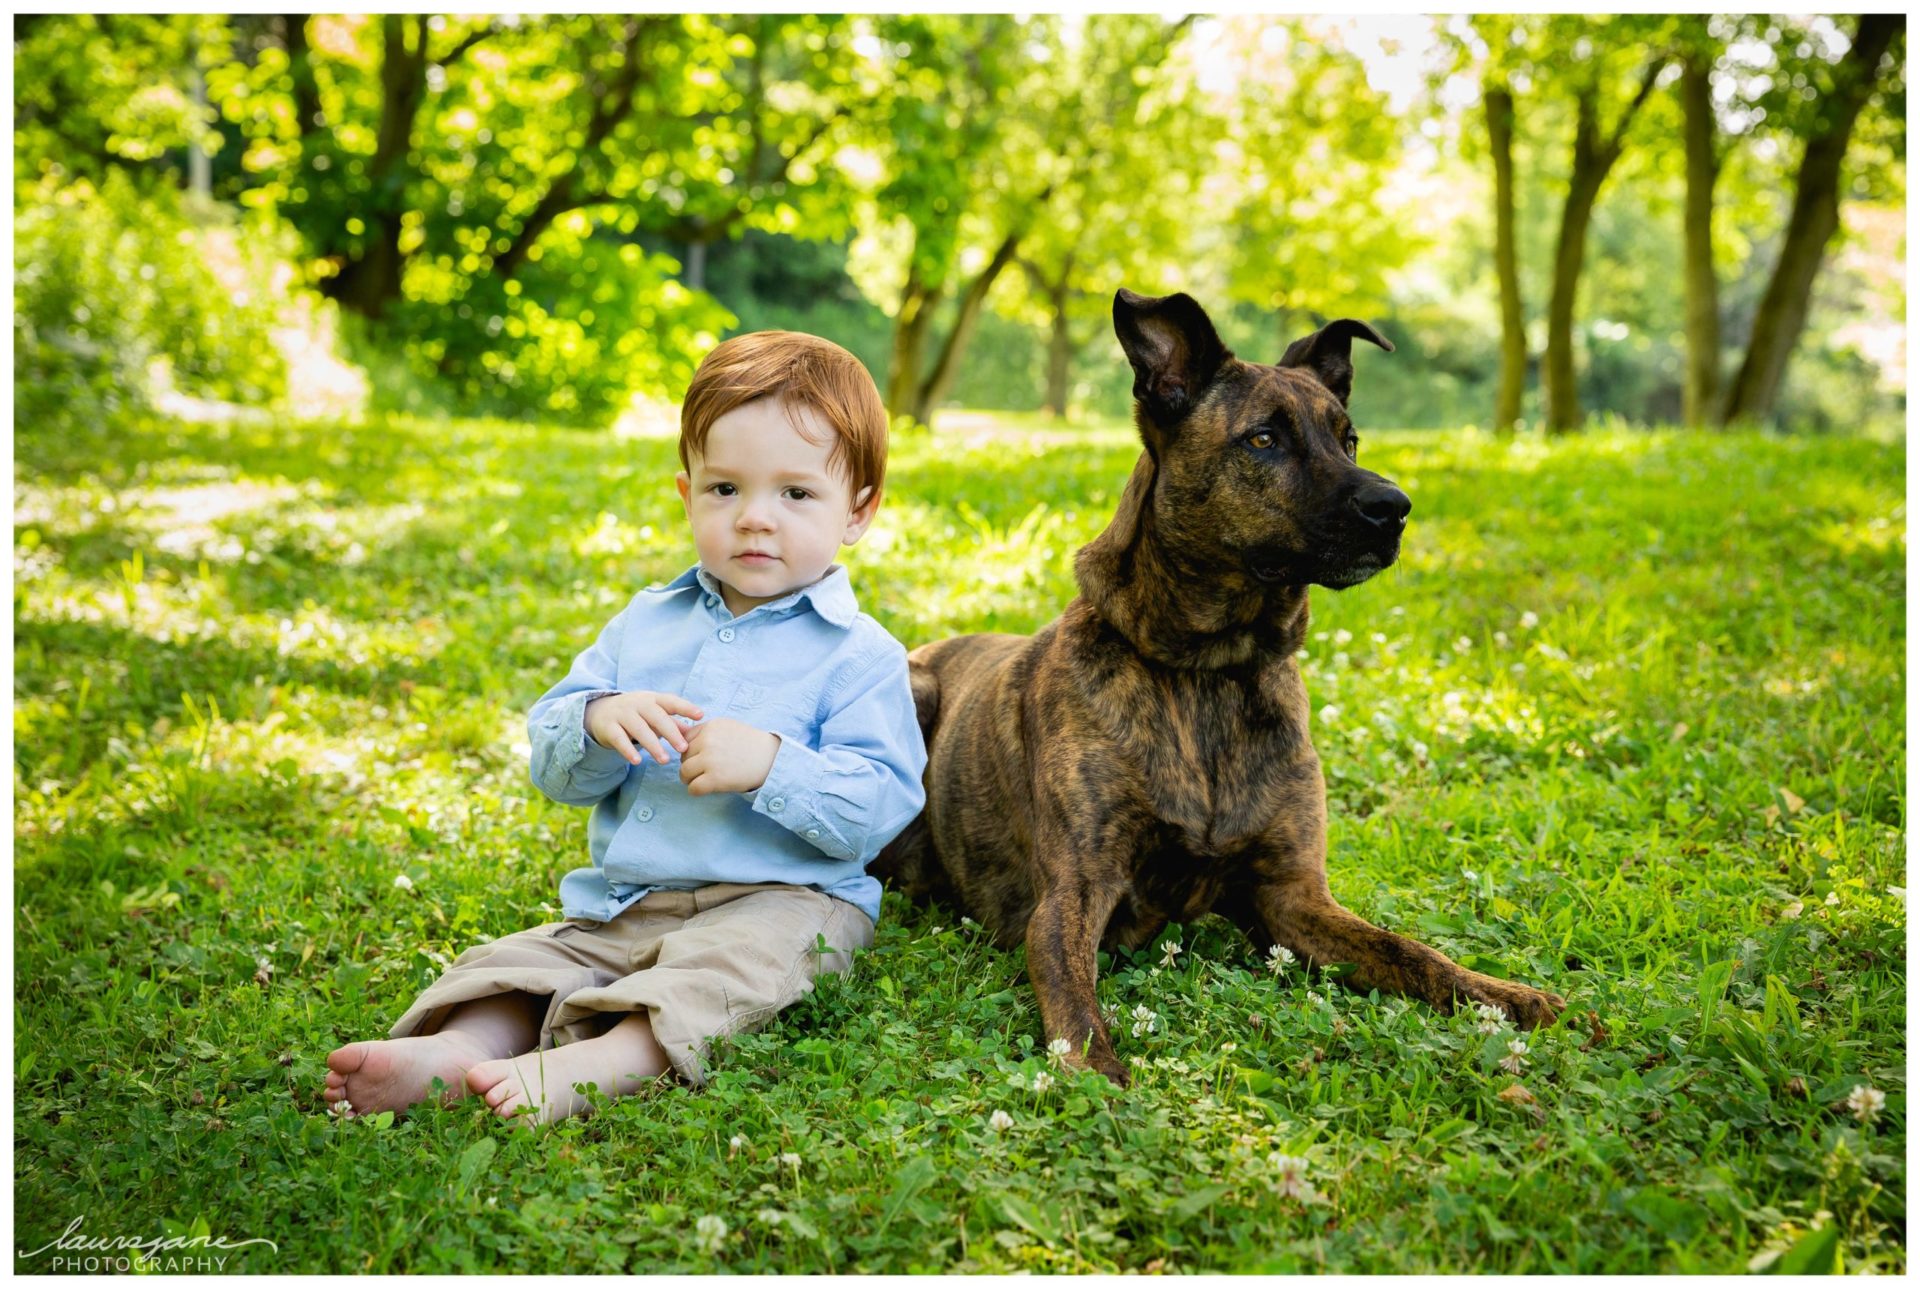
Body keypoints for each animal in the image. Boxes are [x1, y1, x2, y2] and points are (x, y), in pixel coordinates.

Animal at [879, 288, 1566, 1083]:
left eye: (1350, 439)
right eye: (1263, 439)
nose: (1393, 508)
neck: (1208, 673)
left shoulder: (1292, 898)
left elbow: (1412, 952)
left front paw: (1510, 996)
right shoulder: (1071, 895)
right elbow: (1077, 1011)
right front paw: (1102, 1085)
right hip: (912, 691)